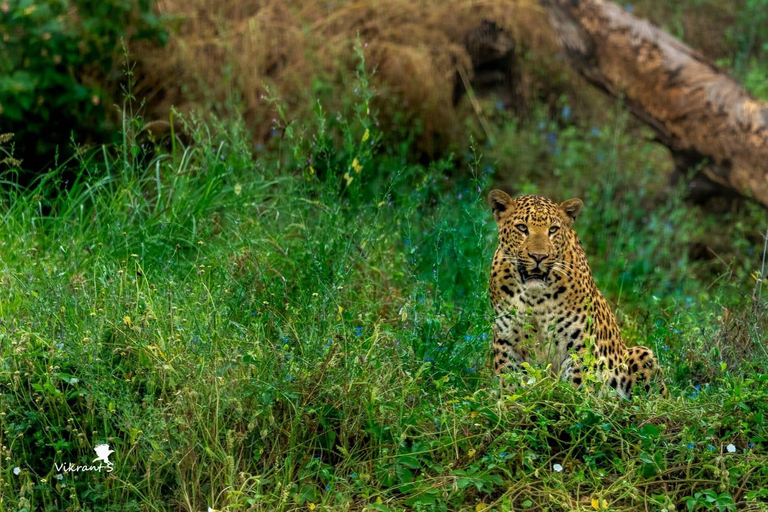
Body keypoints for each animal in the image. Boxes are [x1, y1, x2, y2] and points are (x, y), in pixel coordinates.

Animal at [488, 190, 664, 398]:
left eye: (553, 230)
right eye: (522, 228)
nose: (539, 257)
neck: (535, 298)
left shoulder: (580, 343)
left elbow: (576, 385)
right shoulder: (506, 339)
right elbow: (509, 381)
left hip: (641, 355)